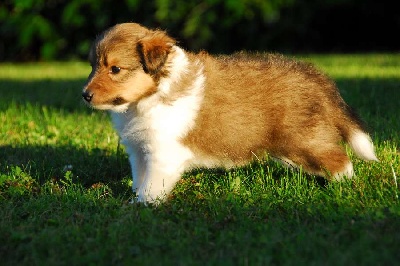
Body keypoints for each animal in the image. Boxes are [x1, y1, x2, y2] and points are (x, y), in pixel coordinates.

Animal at [82, 22, 378, 204]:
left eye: (115, 69)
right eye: (93, 65)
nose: (84, 95)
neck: (148, 97)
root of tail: (319, 79)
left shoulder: (163, 153)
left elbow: (152, 186)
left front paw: (141, 206)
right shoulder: (140, 150)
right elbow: (139, 179)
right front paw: (133, 198)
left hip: (305, 140)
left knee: (341, 161)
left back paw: (342, 188)